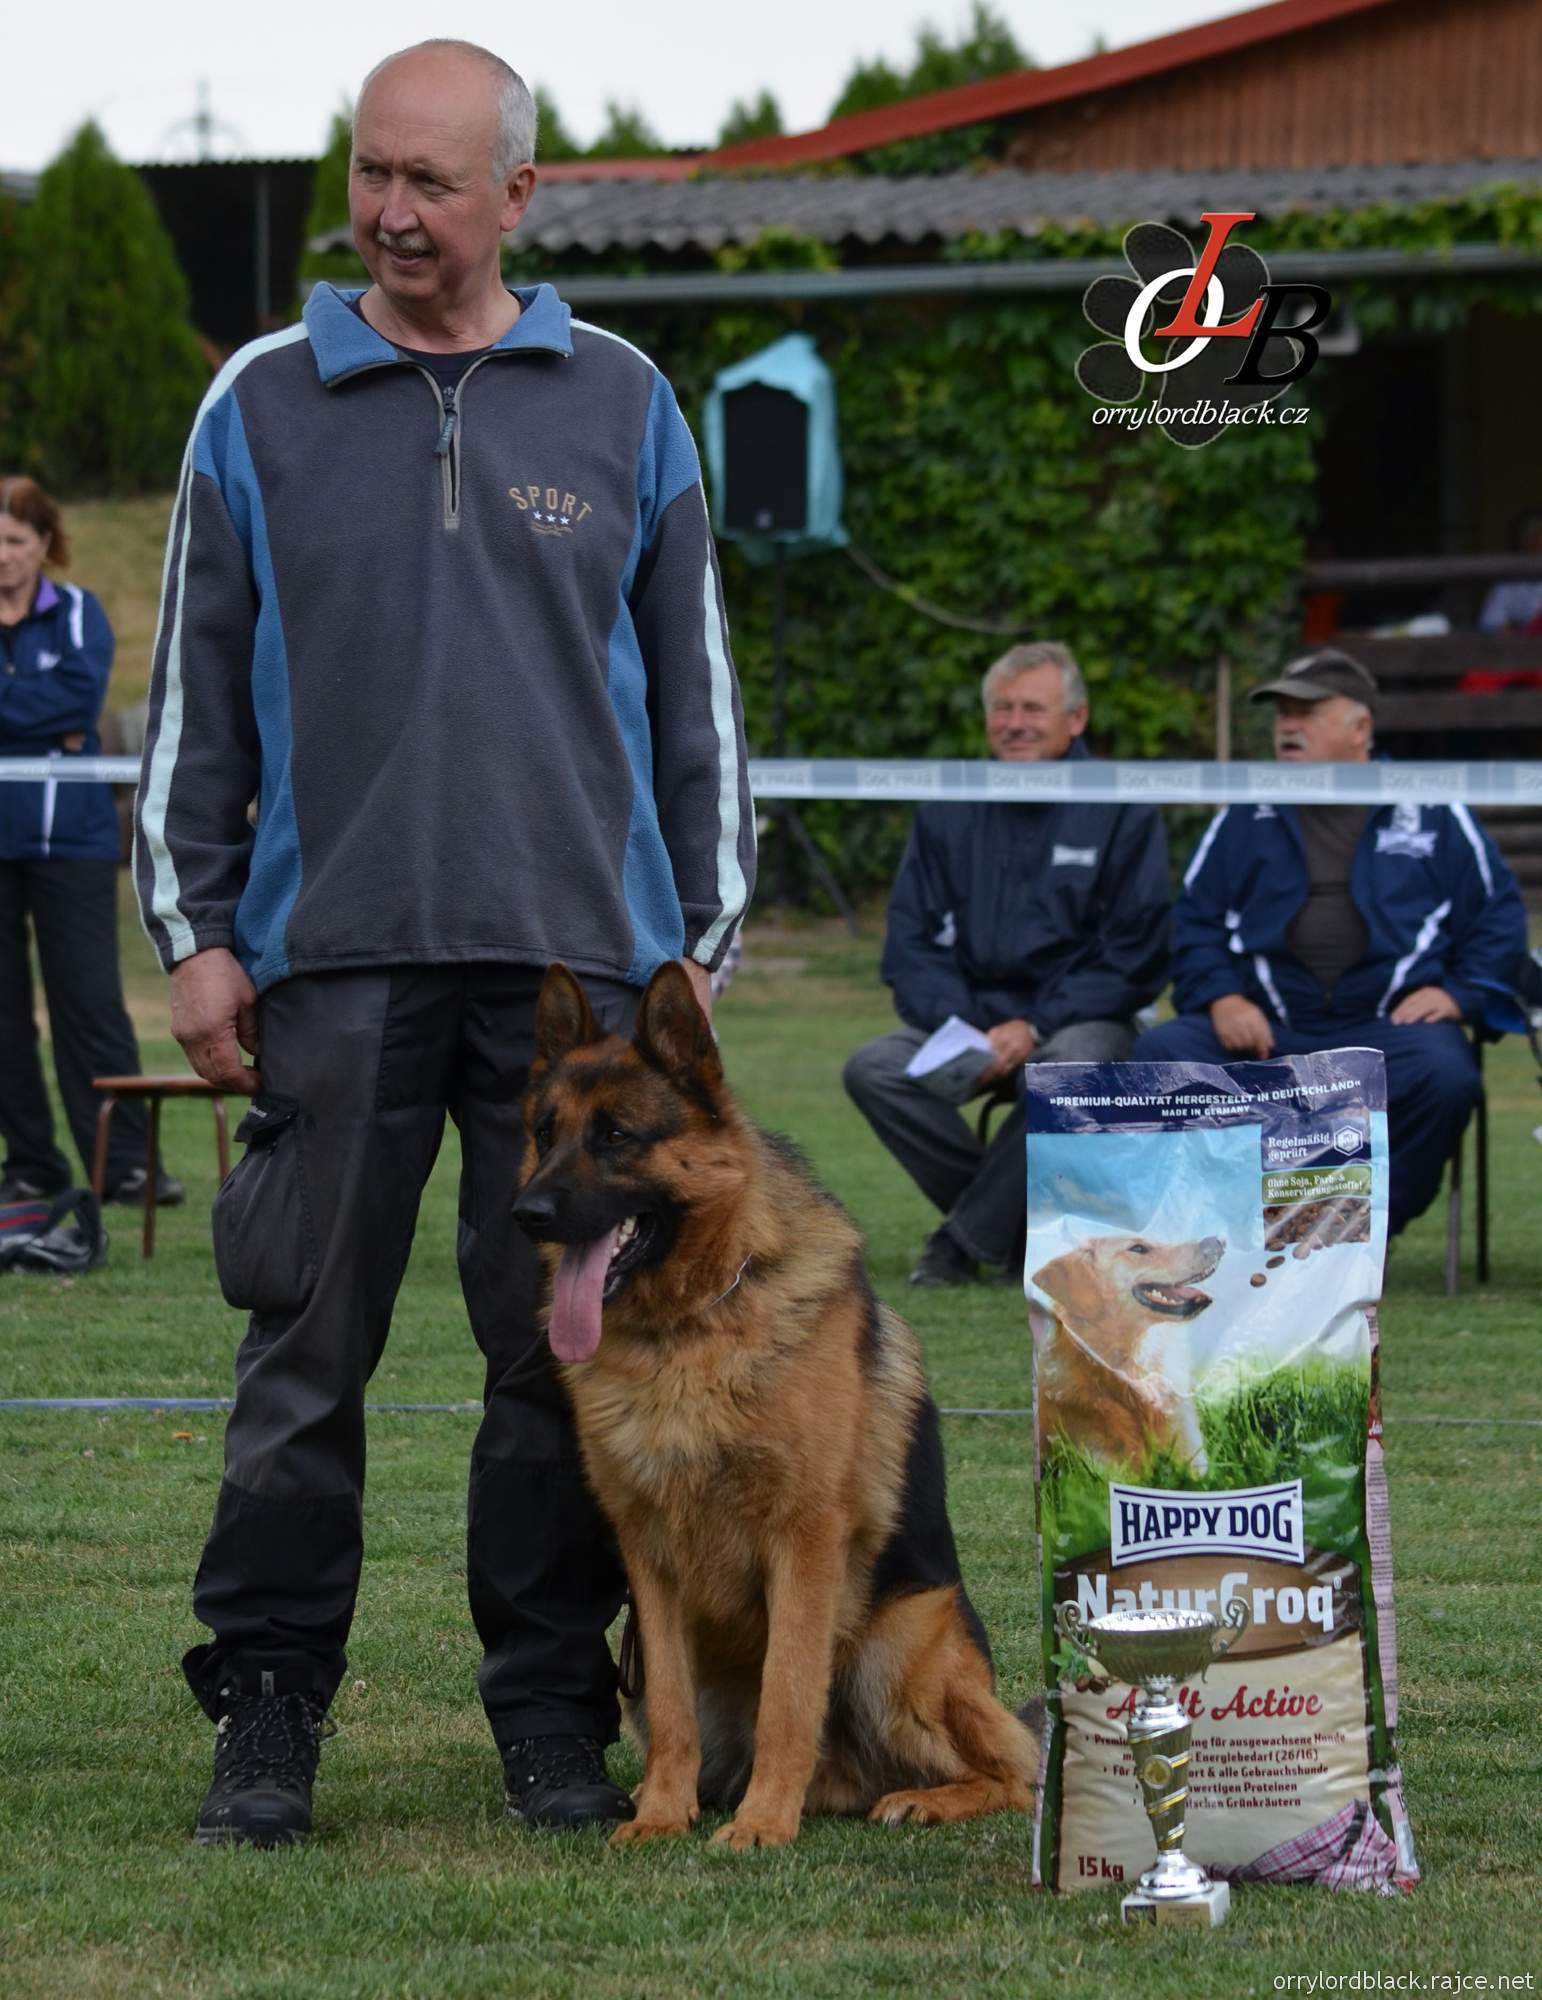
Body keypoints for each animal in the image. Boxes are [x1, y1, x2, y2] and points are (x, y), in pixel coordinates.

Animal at [512, 961, 1040, 1851]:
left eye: (617, 1136)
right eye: (546, 1135)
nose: (527, 1215)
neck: (688, 1331)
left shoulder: (804, 1541)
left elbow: (790, 1695)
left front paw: (761, 1824)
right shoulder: (648, 1558)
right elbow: (678, 1715)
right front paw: (661, 1816)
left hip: (896, 1643)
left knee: (1016, 1771)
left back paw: (921, 1800)